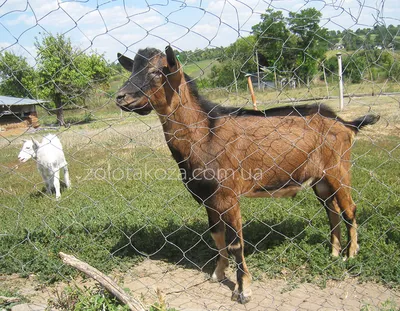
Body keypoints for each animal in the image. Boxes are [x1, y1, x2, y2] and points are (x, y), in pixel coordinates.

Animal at [115, 47, 378, 304]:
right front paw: (218, 273)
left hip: (338, 168)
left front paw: (243, 290)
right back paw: (333, 252)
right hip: (320, 179)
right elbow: (216, 236)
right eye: (133, 68)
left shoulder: (229, 196)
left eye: (156, 71)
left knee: (349, 208)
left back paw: (350, 254)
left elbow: (235, 243)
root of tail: (345, 123)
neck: (205, 133)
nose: (120, 97)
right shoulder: (209, 198)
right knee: (332, 209)